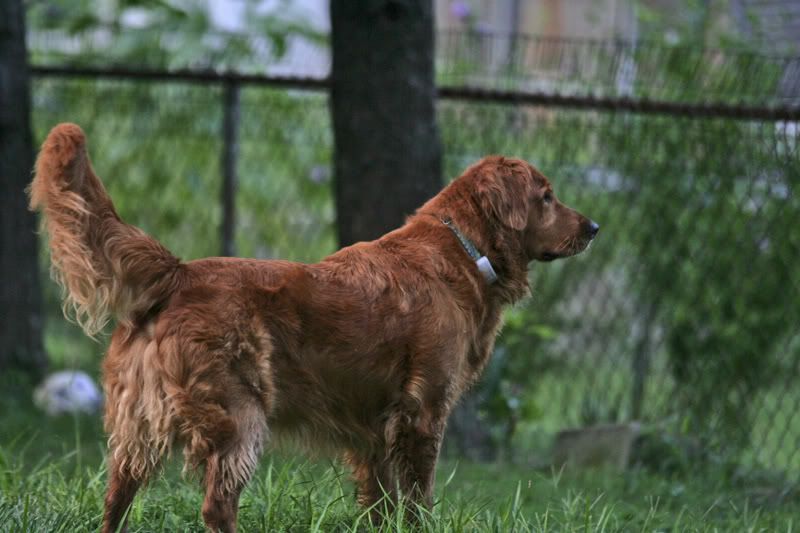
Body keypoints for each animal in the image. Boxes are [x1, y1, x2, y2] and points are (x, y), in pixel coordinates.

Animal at [28, 122, 596, 528]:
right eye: (546, 196)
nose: (594, 226)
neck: (462, 249)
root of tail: (177, 272)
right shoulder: (422, 413)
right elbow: (418, 501)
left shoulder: (375, 430)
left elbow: (381, 504)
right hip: (240, 416)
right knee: (216, 506)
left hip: (136, 427)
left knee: (115, 500)